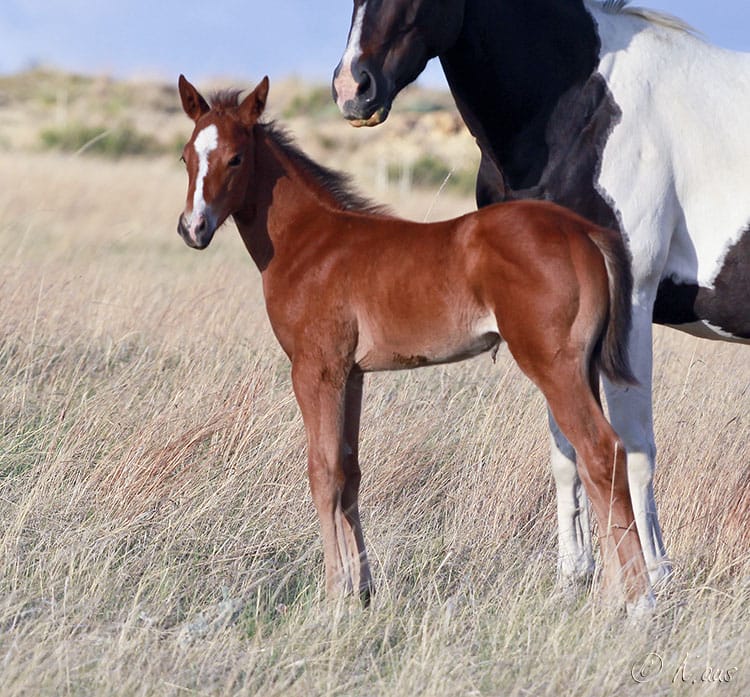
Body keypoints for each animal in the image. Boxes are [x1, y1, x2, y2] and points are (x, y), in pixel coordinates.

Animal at [176, 74, 654, 612]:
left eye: (236, 158)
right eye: (186, 157)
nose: (193, 228)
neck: (310, 241)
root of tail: (583, 231)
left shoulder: (316, 369)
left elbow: (323, 473)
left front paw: (334, 595)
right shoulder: (351, 374)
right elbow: (349, 472)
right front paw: (361, 592)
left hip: (554, 367)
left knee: (601, 452)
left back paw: (638, 602)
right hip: (583, 368)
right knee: (599, 465)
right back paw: (612, 597)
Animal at [333, 0, 750, 590]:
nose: (354, 88)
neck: (580, 108)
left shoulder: (633, 305)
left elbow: (634, 444)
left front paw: (654, 575)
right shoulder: (555, 329)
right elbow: (568, 447)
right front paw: (575, 576)